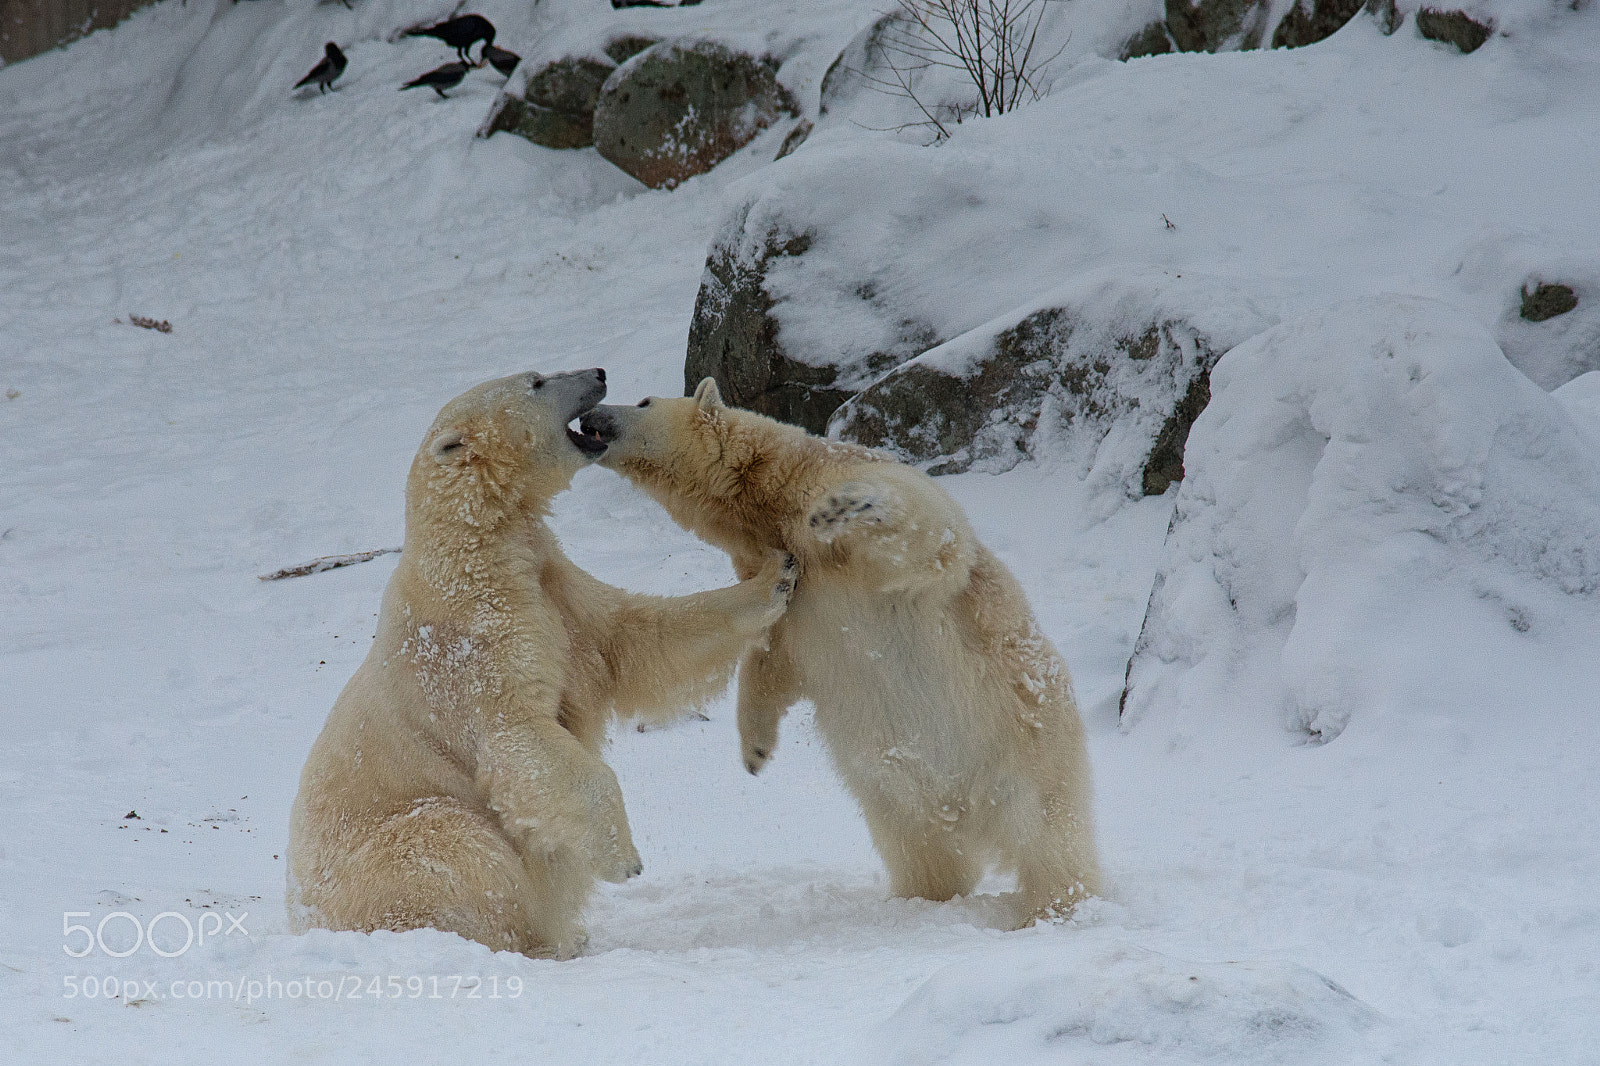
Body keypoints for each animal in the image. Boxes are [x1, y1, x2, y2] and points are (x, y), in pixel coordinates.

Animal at [288, 369, 796, 958]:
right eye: (536, 380)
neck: (479, 553)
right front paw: (624, 857)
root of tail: (302, 922)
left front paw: (778, 572)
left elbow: (632, 639)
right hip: (384, 854)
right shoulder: (474, 645)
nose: (598, 372)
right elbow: (520, 735)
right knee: (457, 841)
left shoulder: (558, 589)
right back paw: (534, 941)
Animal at [578, 379, 1101, 924]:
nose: (591, 413)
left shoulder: (848, 488)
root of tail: (967, 811)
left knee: (1048, 837)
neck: (767, 500)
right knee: (922, 849)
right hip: (899, 798)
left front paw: (844, 506)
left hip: (1023, 748)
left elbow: (927, 530)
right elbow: (771, 653)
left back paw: (1052, 906)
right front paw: (754, 749)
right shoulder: (775, 573)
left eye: (643, 403)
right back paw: (918, 898)